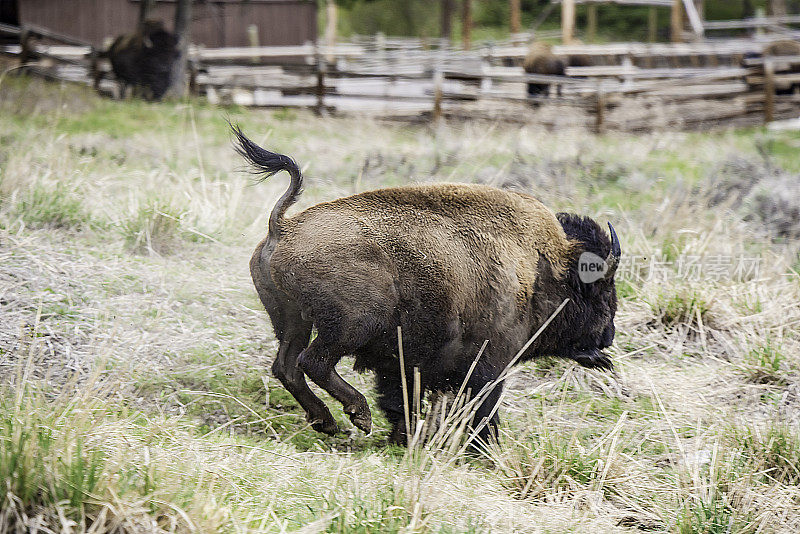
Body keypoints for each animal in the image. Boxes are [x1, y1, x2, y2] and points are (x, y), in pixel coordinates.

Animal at [234, 126, 620, 448]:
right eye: (601, 291)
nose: (608, 337)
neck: (544, 267)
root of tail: (283, 226)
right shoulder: (489, 365)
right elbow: (483, 408)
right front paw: (486, 450)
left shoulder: (406, 366)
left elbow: (403, 400)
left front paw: (405, 439)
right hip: (351, 325)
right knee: (312, 362)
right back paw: (358, 416)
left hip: (292, 320)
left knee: (287, 366)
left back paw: (328, 422)